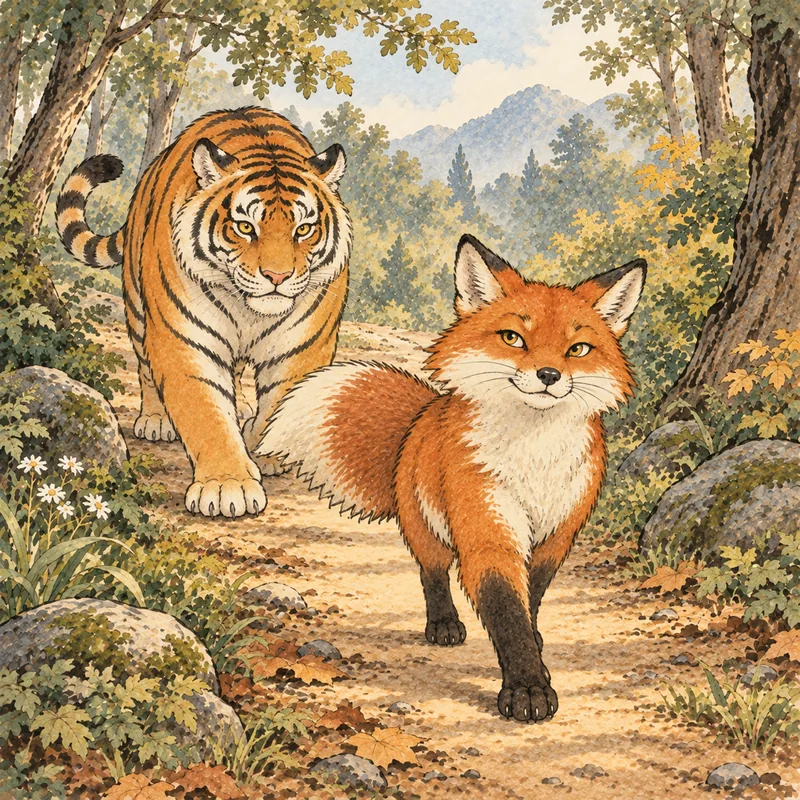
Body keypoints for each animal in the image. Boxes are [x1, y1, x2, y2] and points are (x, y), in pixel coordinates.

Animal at [56, 107, 352, 519]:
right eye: (245, 227)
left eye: (304, 230)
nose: (277, 276)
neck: (248, 310)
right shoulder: (186, 341)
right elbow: (207, 414)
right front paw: (228, 486)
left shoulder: (302, 346)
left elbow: (278, 402)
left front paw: (264, 448)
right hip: (137, 306)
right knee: (145, 365)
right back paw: (156, 419)